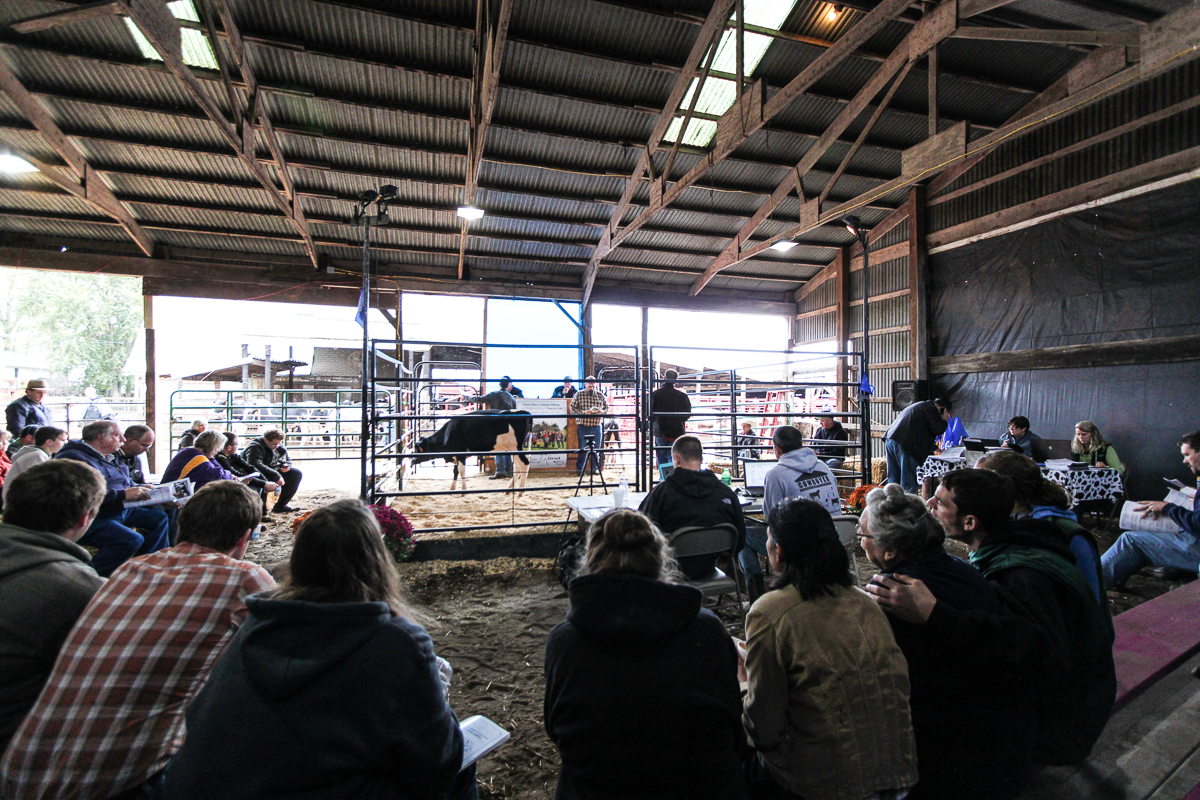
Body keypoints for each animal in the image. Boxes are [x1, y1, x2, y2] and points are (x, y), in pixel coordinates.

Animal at [405, 409, 533, 491]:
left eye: (417, 449)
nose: (412, 460)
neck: (447, 433)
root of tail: (523, 412)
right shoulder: (456, 456)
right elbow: (455, 471)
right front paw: (452, 488)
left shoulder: (460, 454)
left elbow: (461, 471)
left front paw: (463, 490)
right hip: (513, 450)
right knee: (517, 467)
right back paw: (510, 488)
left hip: (515, 447)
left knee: (524, 464)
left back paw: (520, 490)